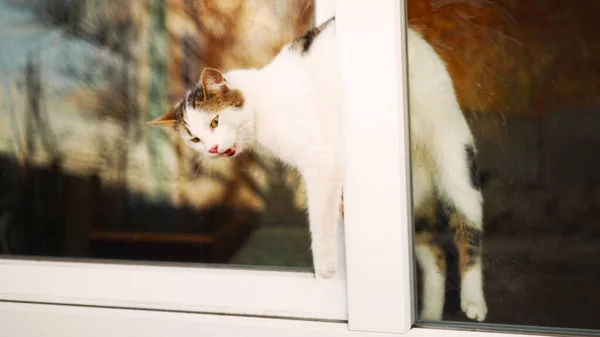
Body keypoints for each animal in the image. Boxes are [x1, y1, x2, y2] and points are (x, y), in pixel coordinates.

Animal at [149, 17, 488, 320]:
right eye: (194, 138)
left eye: (215, 122)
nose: (212, 149)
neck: (261, 108)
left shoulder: (321, 157)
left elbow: (318, 217)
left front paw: (325, 266)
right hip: (415, 205)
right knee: (436, 255)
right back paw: (430, 313)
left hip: (453, 158)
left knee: (468, 230)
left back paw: (474, 302)